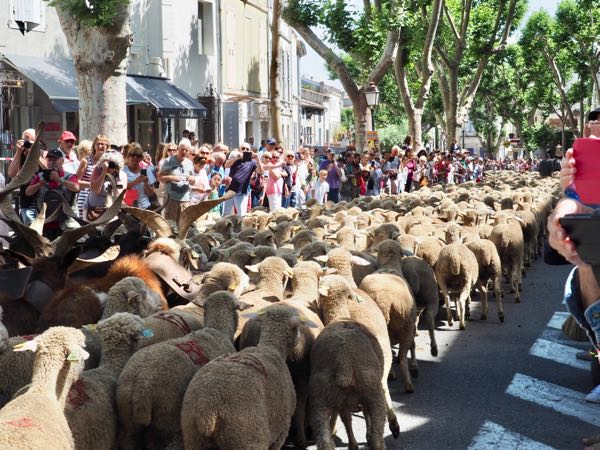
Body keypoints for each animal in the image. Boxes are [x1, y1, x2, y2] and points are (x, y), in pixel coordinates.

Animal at [310, 320, 390, 450]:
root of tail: (343, 360)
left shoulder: (343, 402)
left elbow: (346, 419)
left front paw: (353, 444)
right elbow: (364, 413)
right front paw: (366, 437)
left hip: (320, 399)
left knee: (324, 438)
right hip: (374, 393)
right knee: (377, 435)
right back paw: (377, 442)